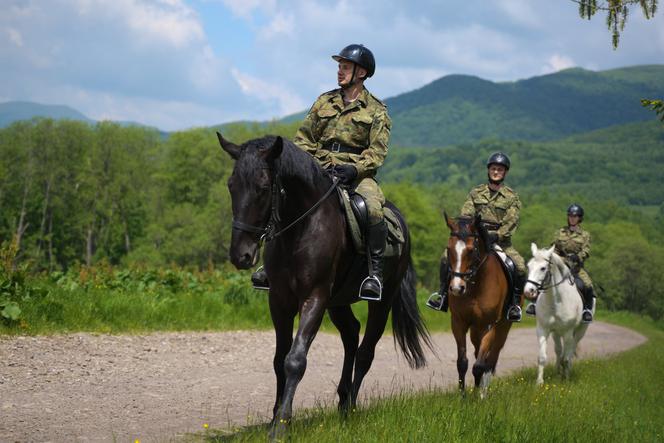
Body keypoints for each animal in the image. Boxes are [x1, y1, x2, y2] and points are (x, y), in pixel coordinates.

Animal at [218, 134, 430, 438]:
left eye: (263, 188)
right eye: (231, 186)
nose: (240, 256)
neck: (302, 228)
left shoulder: (314, 298)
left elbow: (295, 360)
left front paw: (281, 426)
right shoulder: (279, 301)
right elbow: (279, 359)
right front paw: (275, 418)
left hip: (382, 302)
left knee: (365, 352)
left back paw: (351, 407)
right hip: (337, 302)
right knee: (351, 335)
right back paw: (342, 402)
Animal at [444, 214, 516, 398]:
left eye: (471, 250)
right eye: (449, 249)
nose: (457, 288)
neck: (476, 285)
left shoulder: (489, 326)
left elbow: (479, 365)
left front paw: (479, 396)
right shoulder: (459, 323)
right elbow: (462, 362)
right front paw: (462, 396)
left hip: (502, 328)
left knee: (490, 359)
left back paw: (484, 390)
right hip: (475, 330)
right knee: (478, 353)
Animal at [528, 243, 592, 386]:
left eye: (543, 268)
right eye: (528, 266)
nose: (529, 290)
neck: (555, 301)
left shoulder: (568, 332)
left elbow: (567, 357)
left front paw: (566, 379)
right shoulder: (543, 329)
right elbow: (542, 357)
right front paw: (539, 382)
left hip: (580, 331)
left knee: (570, 350)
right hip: (556, 333)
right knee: (558, 351)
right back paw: (558, 372)